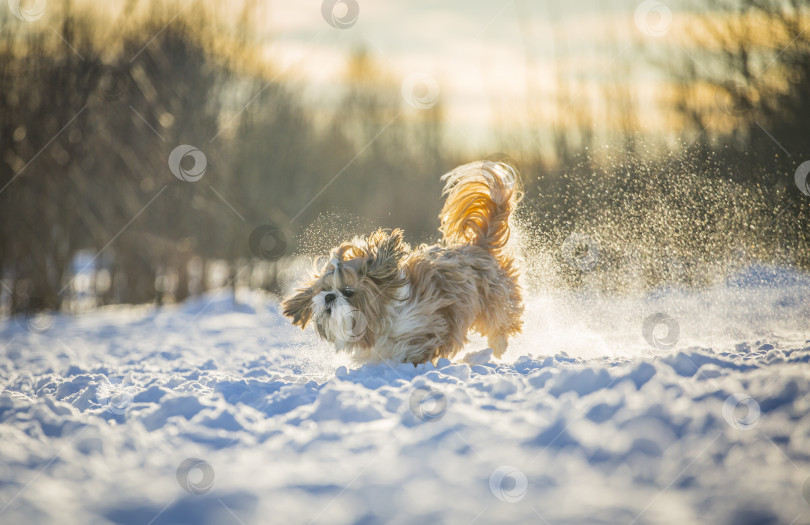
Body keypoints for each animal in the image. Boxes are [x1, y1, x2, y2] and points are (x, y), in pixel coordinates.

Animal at [284, 161, 524, 364]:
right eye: (324, 289)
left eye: (348, 292)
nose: (329, 297)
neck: (385, 314)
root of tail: (477, 245)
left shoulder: (429, 323)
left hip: (496, 301)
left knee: (501, 325)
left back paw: (496, 350)